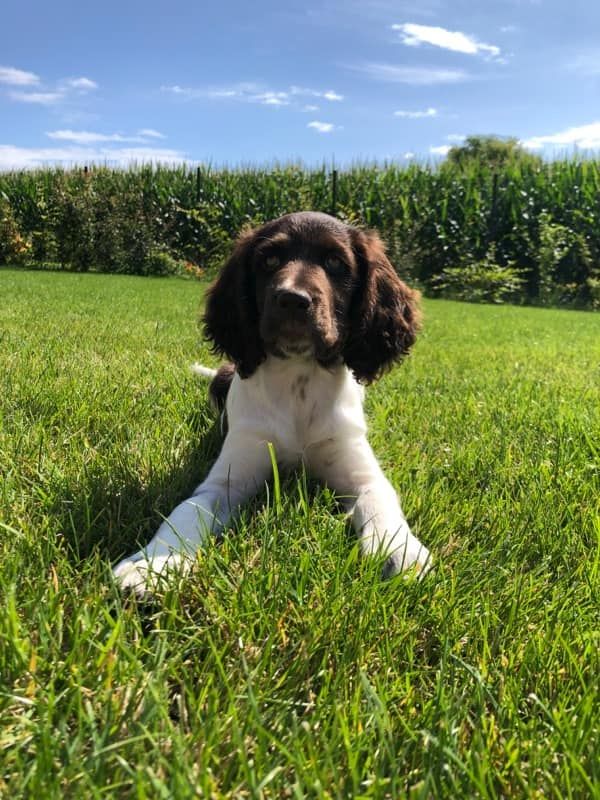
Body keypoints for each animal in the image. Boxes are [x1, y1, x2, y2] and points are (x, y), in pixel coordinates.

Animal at [112, 209, 432, 596]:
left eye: (335, 262)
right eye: (269, 261)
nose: (292, 299)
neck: (298, 382)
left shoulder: (358, 465)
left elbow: (379, 497)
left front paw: (400, 550)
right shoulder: (228, 479)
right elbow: (187, 510)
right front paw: (151, 564)